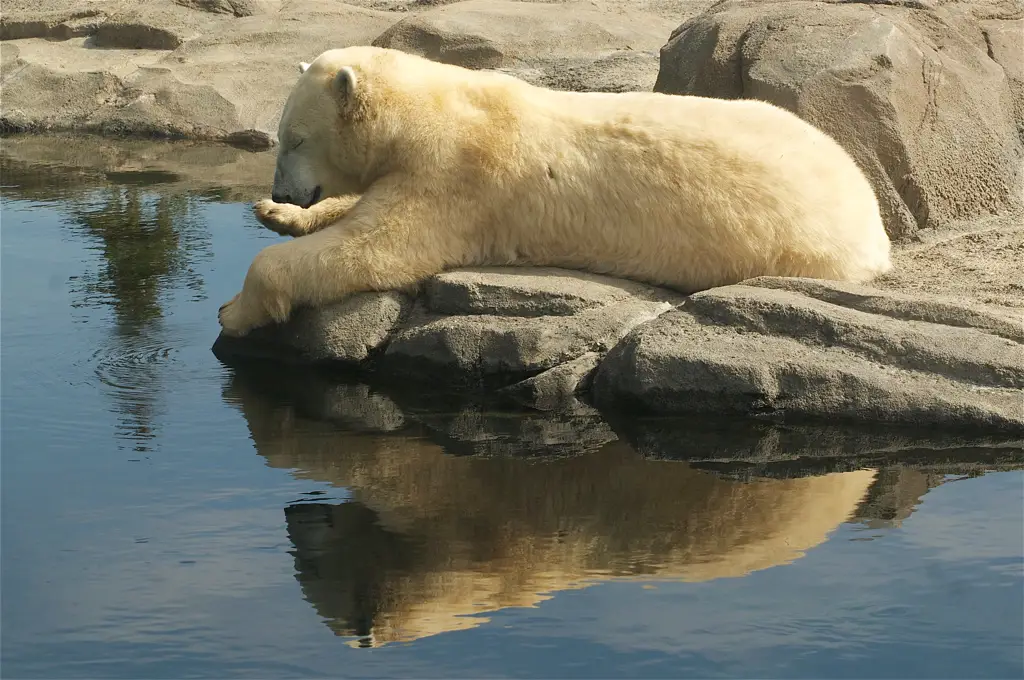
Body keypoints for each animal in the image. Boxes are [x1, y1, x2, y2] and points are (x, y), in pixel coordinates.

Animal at [220, 45, 892, 337]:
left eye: (294, 138)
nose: (285, 189)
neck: (432, 107)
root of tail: (873, 217)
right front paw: (276, 214)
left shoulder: (456, 177)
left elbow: (375, 247)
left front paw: (235, 311)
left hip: (800, 244)